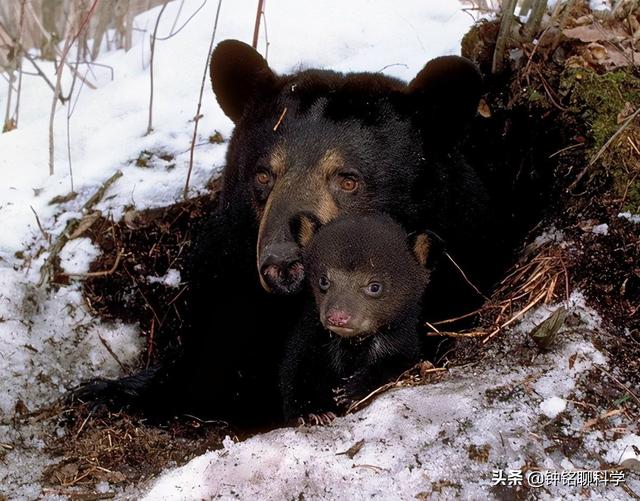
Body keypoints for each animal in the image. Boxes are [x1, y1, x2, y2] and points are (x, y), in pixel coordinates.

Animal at [76, 38, 496, 426]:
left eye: (348, 179)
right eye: (264, 175)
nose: (282, 264)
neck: (288, 310)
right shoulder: (228, 286)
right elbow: (196, 367)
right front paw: (101, 394)